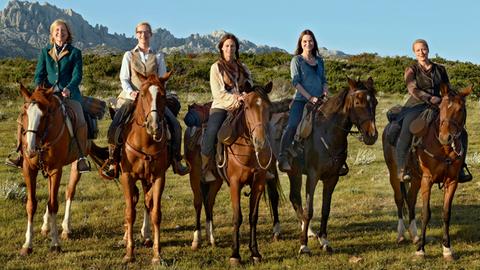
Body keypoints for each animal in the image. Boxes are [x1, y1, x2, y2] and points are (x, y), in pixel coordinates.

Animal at [17, 84, 103, 255]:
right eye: (24, 112)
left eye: (45, 115)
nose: (30, 149)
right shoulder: (29, 169)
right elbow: (31, 204)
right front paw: (27, 244)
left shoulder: (55, 170)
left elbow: (53, 205)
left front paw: (55, 243)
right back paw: (45, 226)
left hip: (77, 163)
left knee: (69, 192)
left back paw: (66, 228)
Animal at [118, 71, 172, 264]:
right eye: (142, 94)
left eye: (163, 95)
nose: (154, 126)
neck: (146, 142)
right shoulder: (127, 177)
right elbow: (129, 213)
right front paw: (129, 253)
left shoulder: (159, 177)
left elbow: (156, 213)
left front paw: (157, 255)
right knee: (133, 202)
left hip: (146, 179)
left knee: (147, 202)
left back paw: (146, 236)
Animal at [183, 99, 284, 251]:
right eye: (247, 108)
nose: (261, 141)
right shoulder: (236, 182)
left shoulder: (264, 176)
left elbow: (271, 198)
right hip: (194, 176)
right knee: (198, 202)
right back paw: (197, 239)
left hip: (216, 180)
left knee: (209, 201)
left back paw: (211, 238)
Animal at [278, 77, 378, 253]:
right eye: (358, 102)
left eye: (376, 102)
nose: (371, 135)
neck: (328, 132)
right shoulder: (313, 176)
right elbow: (309, 210)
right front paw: (303, 245)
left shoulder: (332, 178)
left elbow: (325, 210)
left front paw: (323, 240)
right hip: (289, 172)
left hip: (295, 173)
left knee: (295, 198)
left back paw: (309, 231)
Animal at [382, 85, 472, 262]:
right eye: (441, 108)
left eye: (460, 109)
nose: (446, 137)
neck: (443, 148)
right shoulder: (427, 180)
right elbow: (425, 213)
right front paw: (421, 250)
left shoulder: (452, 181)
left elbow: (446, 213)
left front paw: (447, 249)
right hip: (394, 174)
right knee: (399, 199)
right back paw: (401, 234)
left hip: (416, 178)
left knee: (410, 200)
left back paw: (415, 235)